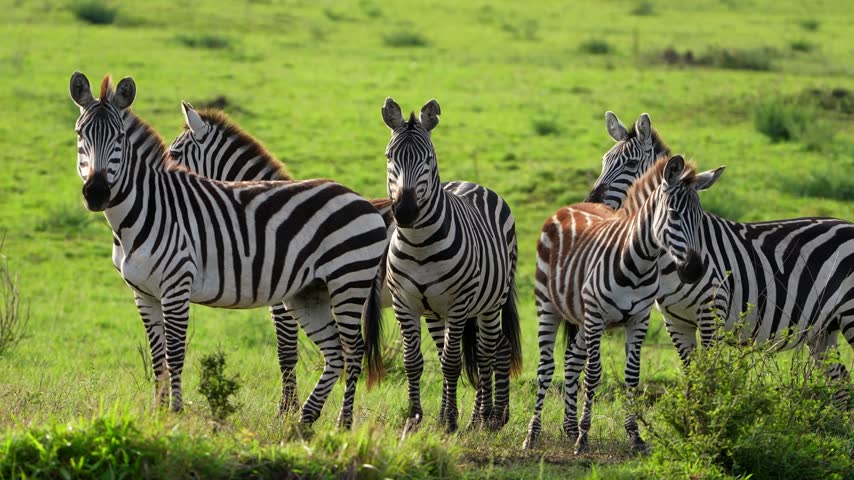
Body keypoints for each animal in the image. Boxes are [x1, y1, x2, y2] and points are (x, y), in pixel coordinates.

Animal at [380, 97, 523, 433]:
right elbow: (414, 361)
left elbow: (452, 362)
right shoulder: (404, 303)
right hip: (437, 312)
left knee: (490, 351)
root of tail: (472, 184)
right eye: (390, 157)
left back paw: (490, 417)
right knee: (469, 351)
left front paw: (450, 421)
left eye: (428, 158)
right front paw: (416, 416)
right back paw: (473, 417)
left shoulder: (458, 304)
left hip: (490, 302)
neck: (418, 243)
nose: (405, 211)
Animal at [523, 155, 725, 453]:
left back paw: (569, 429)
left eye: (700, 219)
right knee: (546, 368)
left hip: (581, 317)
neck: (641, 262)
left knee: (572, 360)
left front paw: (634, 435)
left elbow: (632, 375)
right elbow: (593, 374)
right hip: (548, 305)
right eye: (674, 214)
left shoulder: (639, 319)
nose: (694, 271)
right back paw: (533, 435)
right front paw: (584, 437)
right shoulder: (597, 317)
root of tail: (569, 206)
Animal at [587, 111, 854, 406]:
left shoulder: (711, 312)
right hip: (823, 330)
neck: (668, 263)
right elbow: (691, 378)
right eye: (604, 161)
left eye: (631, 163)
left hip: (849, 314)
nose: (592, 202)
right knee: (840, 382)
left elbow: (709, 378)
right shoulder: (675, 322)